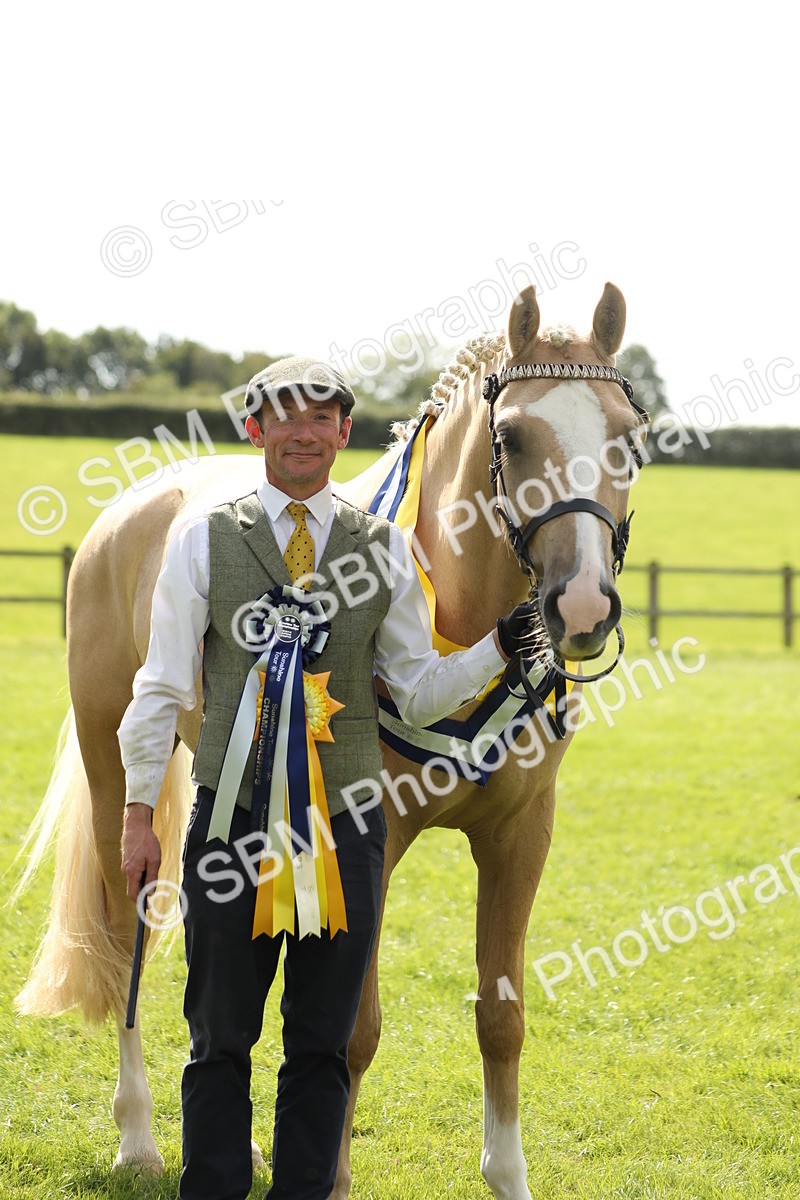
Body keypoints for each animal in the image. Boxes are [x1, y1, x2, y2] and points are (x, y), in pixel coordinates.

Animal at [14, 283, 648, 1199]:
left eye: (629, 440)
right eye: (512, 438)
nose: (583, 605)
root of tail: (136, 507)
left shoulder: (521, 835)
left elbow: (502, 1014)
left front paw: (508, 1176)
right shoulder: (365, 842)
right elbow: (352, 1032)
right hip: (115, 777)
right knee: (128, 932)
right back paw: (138, 1137)